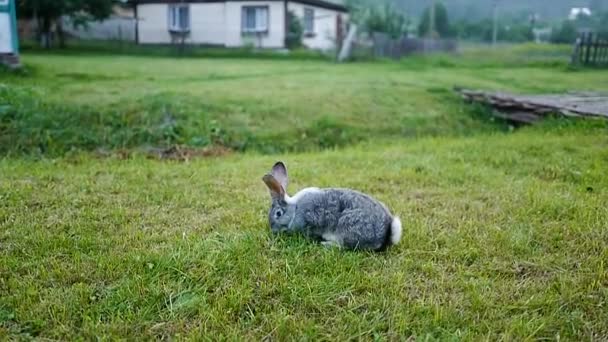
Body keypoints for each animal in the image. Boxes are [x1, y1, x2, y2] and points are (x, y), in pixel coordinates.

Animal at [260, 162, 400, 250]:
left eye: (278, 213)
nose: (273, 230)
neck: (294, 209)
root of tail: (387, 233)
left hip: (347, 229)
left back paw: (326, 244)